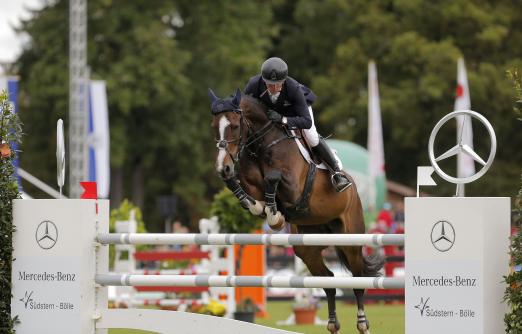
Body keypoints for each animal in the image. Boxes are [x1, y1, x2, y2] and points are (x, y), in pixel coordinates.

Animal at [207, 88, 382, 334]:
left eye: (233, 125)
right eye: (215, 126)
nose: (223, 166)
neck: (262, 143)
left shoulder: (294, 188)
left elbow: (272, 178)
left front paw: (274, 216)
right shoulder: (249, 181)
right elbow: (240, 186)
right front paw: (263, 209)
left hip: (351, 239)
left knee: (358, 279)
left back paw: (362, 324)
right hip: (307, 248)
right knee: (328, 280)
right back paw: (332, 324)